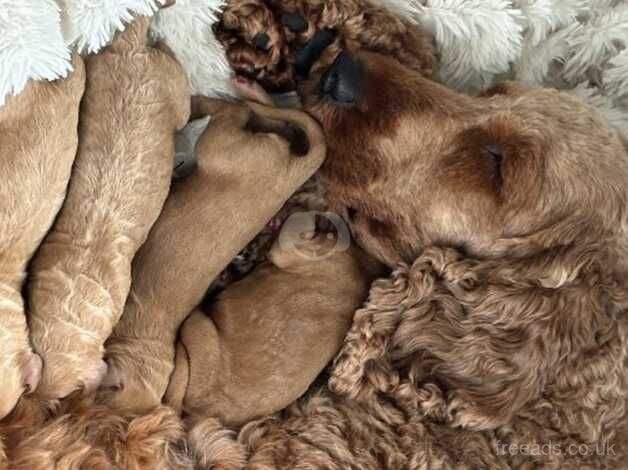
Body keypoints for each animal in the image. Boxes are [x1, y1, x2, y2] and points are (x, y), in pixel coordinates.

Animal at [100, 96, 326, 412]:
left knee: (234, 112)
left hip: (221, 148)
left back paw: (208, 101)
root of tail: (291, 175)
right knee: (259, 115)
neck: (144, 334)